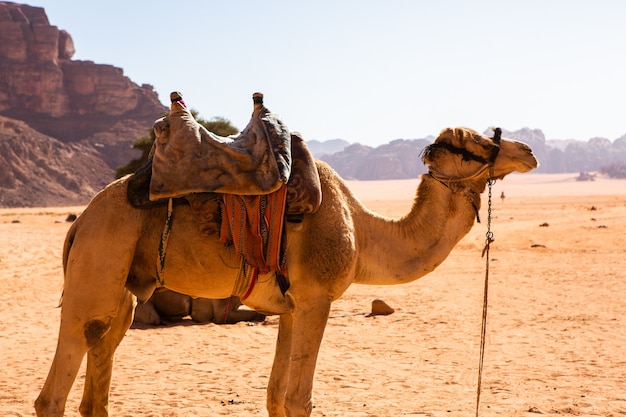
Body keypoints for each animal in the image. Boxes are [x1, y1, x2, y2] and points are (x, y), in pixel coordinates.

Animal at [34, 94, 536, 416]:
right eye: (474, 147)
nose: (528, 151)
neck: (363, 231)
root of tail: (80, 222)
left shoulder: (292, 307)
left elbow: (275, 397)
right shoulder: (317, 298)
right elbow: (298, 401)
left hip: (123, 293)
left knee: (97, 378)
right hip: (95, 270)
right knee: (51, 396)